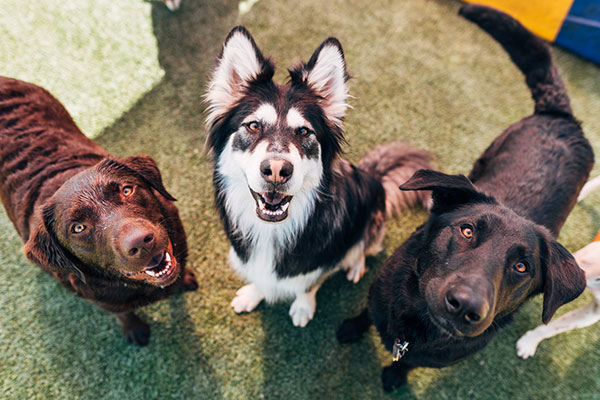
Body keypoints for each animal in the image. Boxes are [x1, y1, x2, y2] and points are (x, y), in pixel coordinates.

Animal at [0, 76, 198, 346]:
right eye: (78, 228)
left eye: (127, 190)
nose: (141, 242)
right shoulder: (96, 295)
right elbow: (122, 312)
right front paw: (134, 329)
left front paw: (184, 280)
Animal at [204, 26, 434, 326]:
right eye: (253, 126)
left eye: (304, 132)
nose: (276, 170)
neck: (273, 230)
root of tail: (374, 175)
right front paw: (254, 293)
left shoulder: (326, 257)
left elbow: (310, 284)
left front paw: (303, 307)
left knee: (363, 247)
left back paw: (356, 266)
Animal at [338, 3, 596, 390]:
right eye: (467, 230)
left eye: (522, 267)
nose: (466, 306)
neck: (417, 328)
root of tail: (563, 116)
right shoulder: (379, 295)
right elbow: (366, 313)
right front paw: (351, 328)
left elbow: (408, 363)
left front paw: (395, 375)